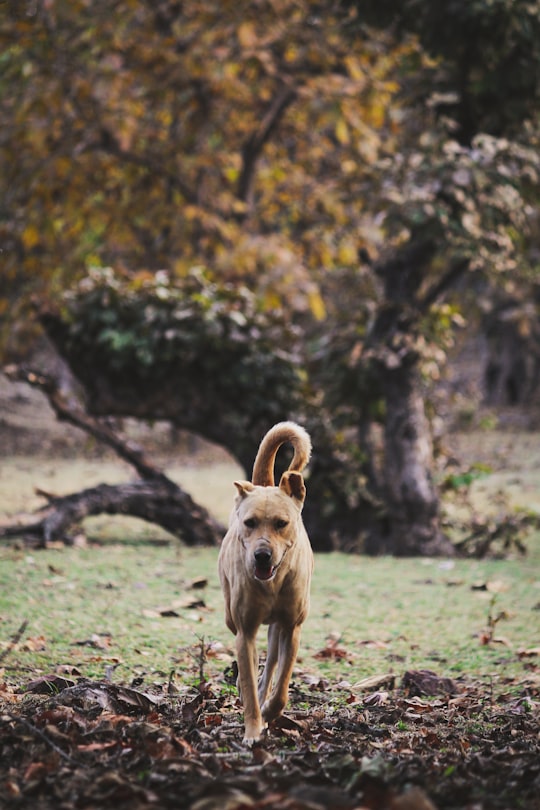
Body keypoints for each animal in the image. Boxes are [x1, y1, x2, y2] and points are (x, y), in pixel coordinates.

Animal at [218, 420, 314, 740]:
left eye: (281, 523)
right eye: (249, 523)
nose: (261, 556)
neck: (272, 582)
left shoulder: (292, 628)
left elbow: (282, 683)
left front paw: (271, 711)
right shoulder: (245, 631)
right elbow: (248, 681)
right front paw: (252, 728)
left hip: (277, 627)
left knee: (271, 661)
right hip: (231, 616)